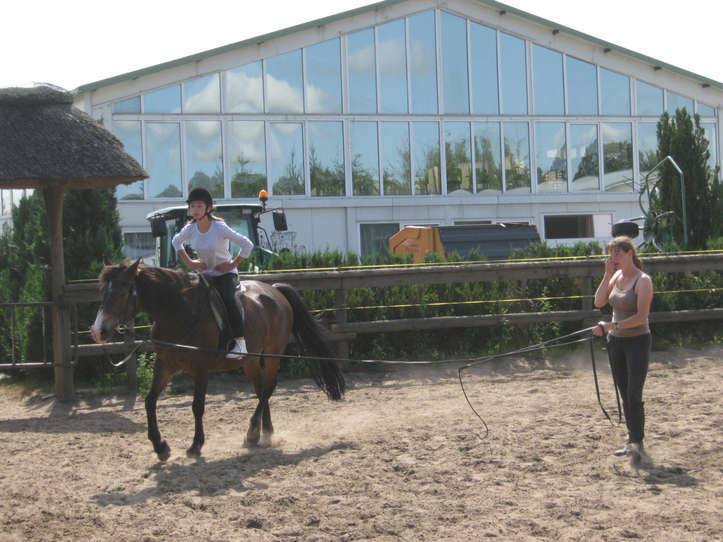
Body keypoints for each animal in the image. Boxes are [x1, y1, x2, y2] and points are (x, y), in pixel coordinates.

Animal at [90, 258, 345, 460]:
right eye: (103, 292)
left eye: (122, 291)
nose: (98, 331)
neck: (178, 312)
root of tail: (275, 290)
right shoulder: (165, 365)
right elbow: (149, 401)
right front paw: (160, 447)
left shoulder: (200, 368)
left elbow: (197, 406)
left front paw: (195, 445)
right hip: (250, 360)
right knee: (261, 389)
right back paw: (264, 432)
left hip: (273, 352)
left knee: (269, 387)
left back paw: (252, 433)